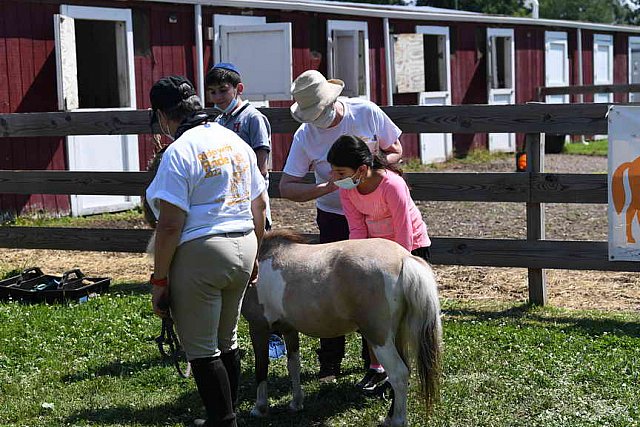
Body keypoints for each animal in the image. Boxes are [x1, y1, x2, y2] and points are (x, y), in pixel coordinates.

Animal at [242, 231, 442, 427]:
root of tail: (403, 258)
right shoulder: (289, 329)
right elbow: (293, 365)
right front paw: (296, 403)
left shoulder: (258, 327)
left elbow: (261, 367)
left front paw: (259, 408)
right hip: (397, 334)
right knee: (404, 372)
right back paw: (389, 417)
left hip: (379, 338)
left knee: (398, 374)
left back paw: (398, 421)